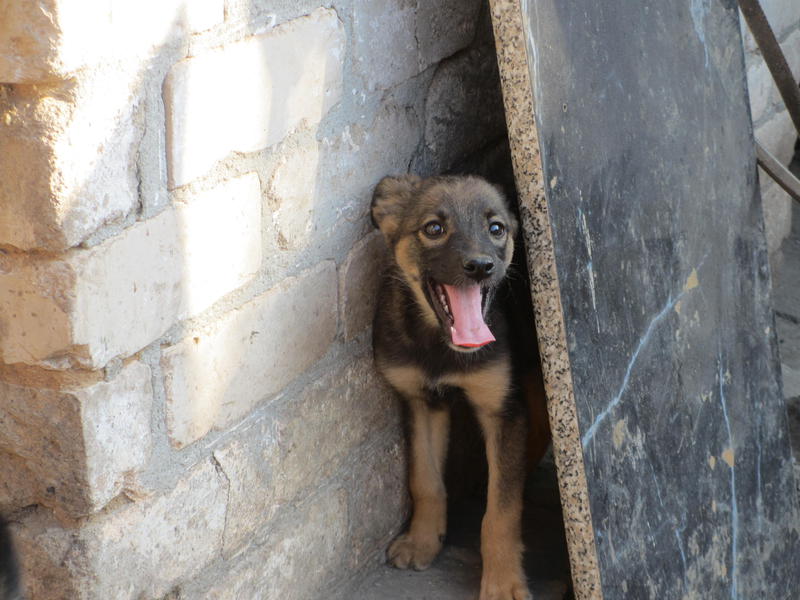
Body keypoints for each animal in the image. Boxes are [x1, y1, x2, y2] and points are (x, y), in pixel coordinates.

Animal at [374, 173, 548, 600]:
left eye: (496, 228)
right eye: (434, 229)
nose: (481, 266)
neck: (442, 348)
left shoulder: (502, 409)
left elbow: (501, 510)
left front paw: (503, 582)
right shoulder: (422, 401)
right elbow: (425, 480)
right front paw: (422, 541)